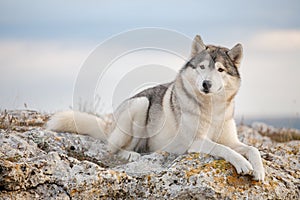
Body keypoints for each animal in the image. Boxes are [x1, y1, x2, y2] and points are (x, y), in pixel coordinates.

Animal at [47, 36, 264, 181]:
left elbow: (252, 148)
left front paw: (259, 170)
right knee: (112, 148)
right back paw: (132, 154)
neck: (212, 110)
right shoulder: (195, 142)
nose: (206, 84)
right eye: (202, 67)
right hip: (140, 105)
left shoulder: (233, 140)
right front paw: (243, 163)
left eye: (220, 69)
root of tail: (110, 124)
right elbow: (223, 149)